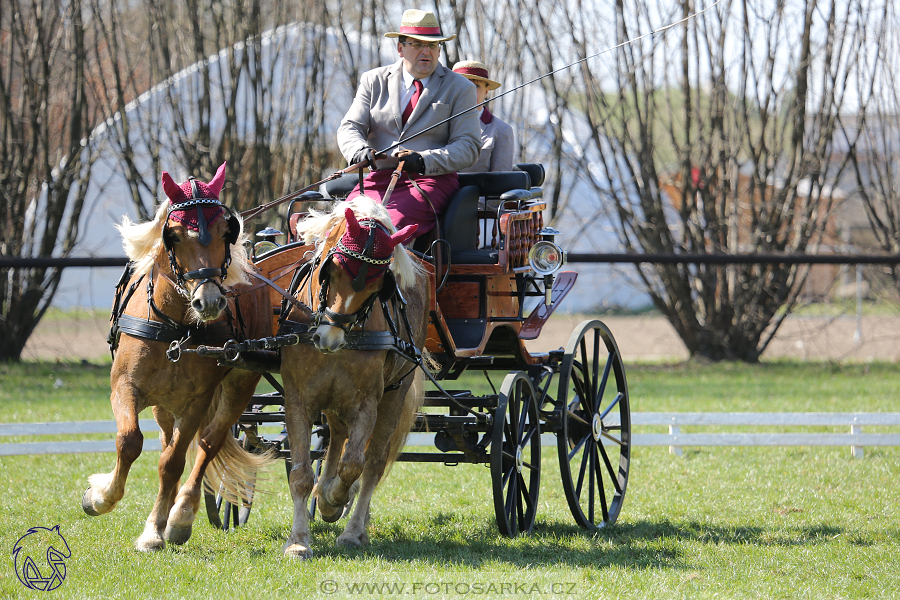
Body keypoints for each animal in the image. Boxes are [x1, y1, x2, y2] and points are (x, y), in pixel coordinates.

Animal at [82, 162, 276, 552]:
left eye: (225, 232)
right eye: (172, 235)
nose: (210, 302)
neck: (176, 327)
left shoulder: (197, 401)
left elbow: (173, 462)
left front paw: (161, 528)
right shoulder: (124, 386)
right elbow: (130, 441)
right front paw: (101, 497)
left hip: (238, 384)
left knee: (207, 443)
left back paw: (181, 513)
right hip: (163, 403)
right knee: (166, 441)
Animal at [284, 197, 430, 556]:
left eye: (379, 287)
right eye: (332, 269)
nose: (330, 339)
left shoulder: (368, 401)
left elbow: (354, 465)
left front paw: (334, 499)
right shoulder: (298, 398)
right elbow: (301, 474)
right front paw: (298, 541)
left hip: (395, 391)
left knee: (373, 463)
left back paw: (352, 528)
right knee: (337, 435)